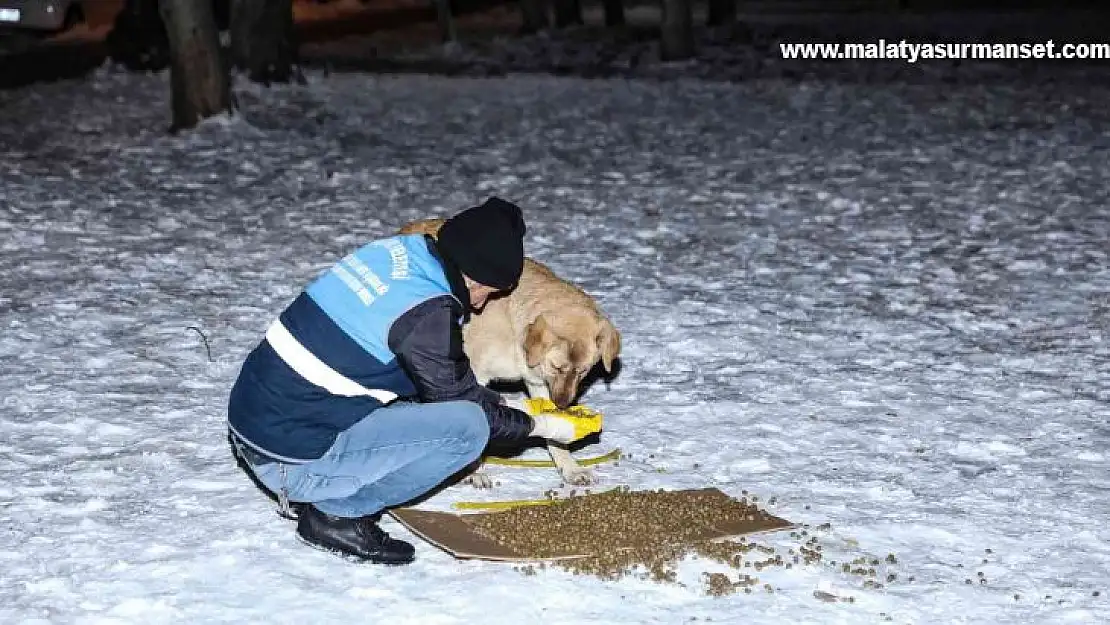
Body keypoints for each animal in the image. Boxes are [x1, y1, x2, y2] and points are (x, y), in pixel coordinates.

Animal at [399, 217, 626, 486]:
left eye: (583, 371)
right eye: (557, 367)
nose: (562, 405)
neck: (515, 333)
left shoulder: (539, 383)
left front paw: (569, 466)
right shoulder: (476, 377)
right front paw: (474, 471)